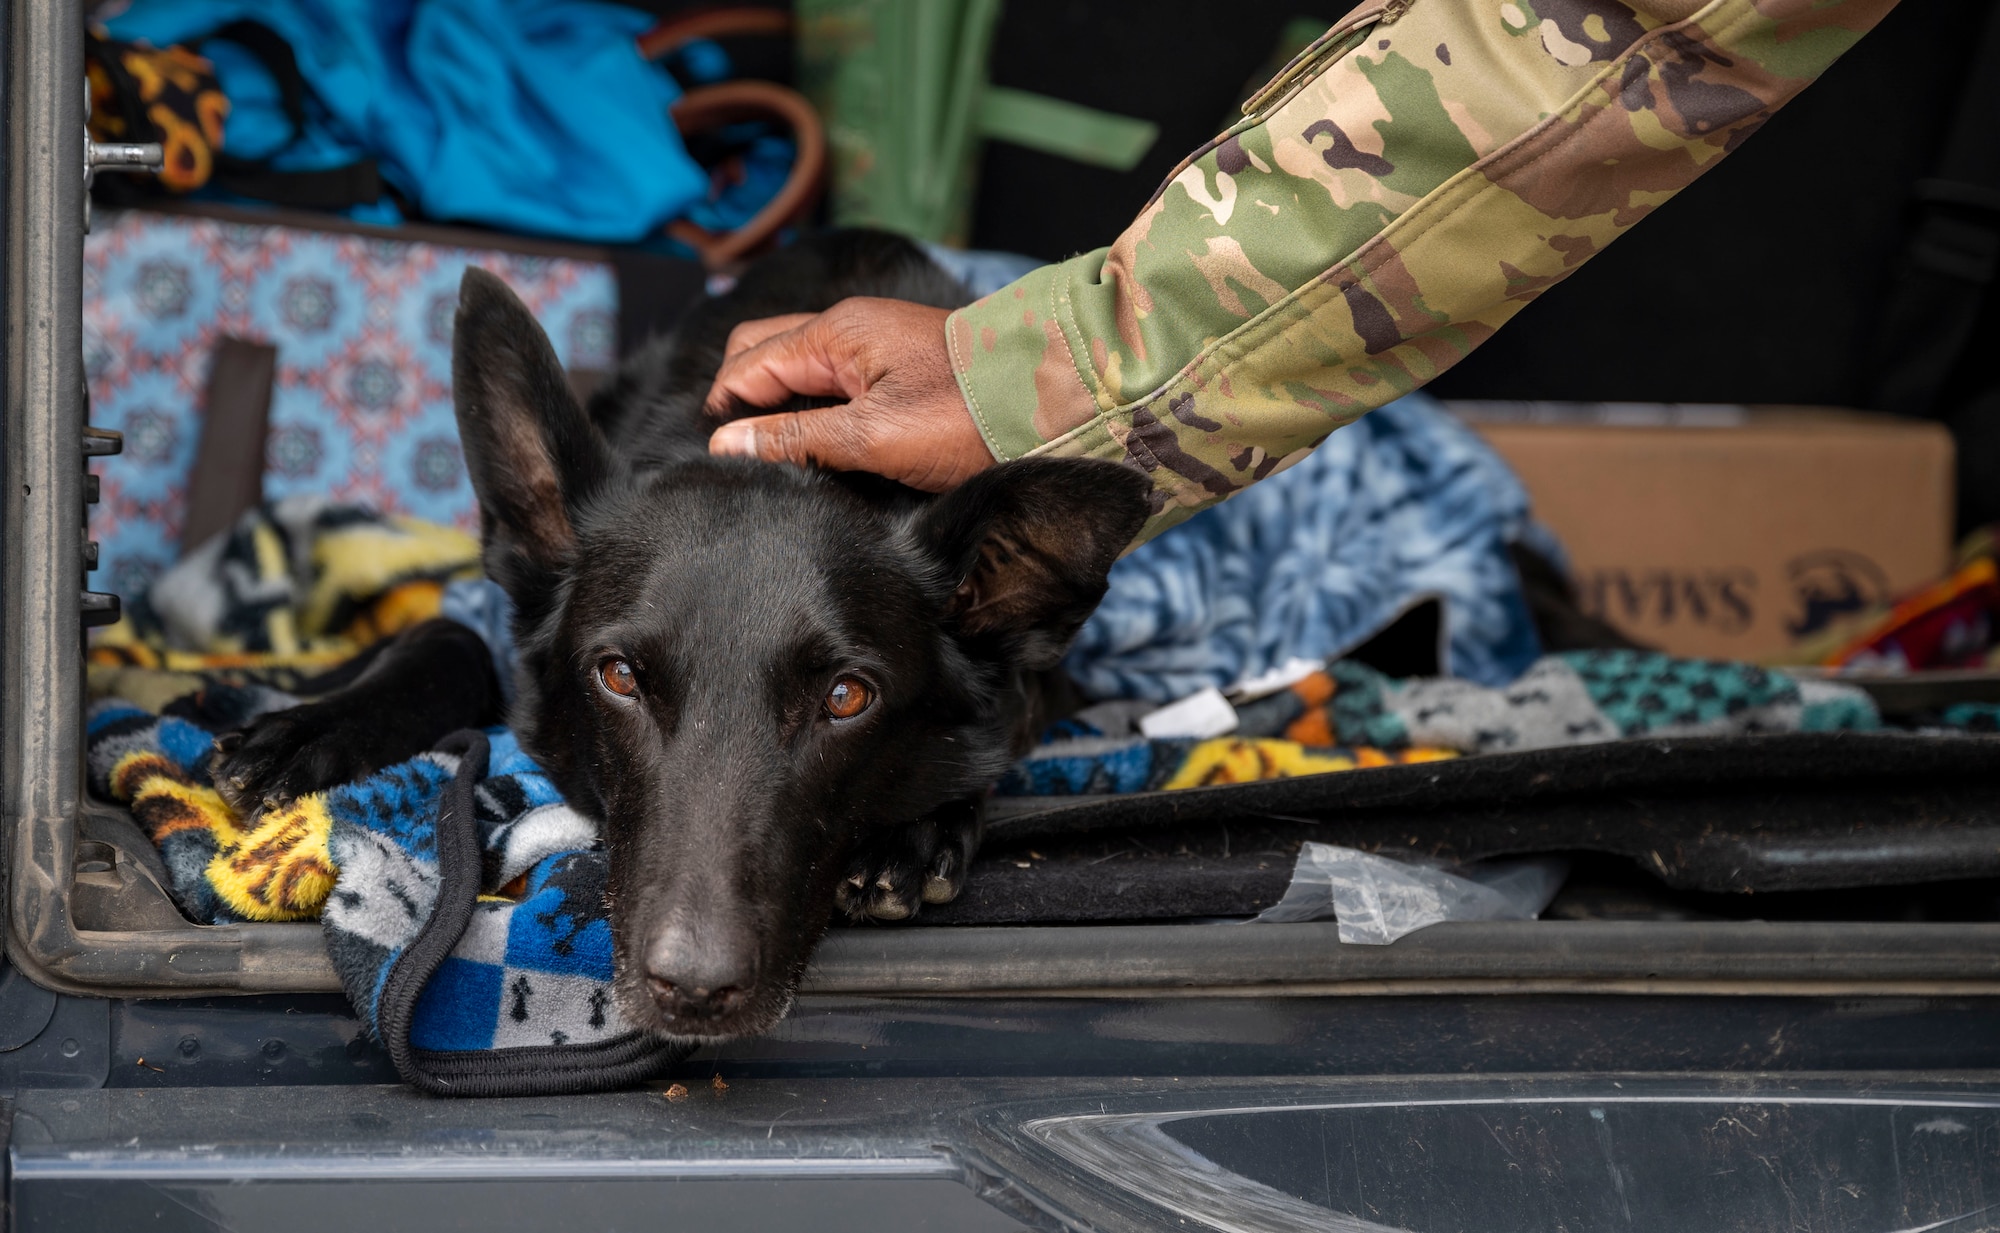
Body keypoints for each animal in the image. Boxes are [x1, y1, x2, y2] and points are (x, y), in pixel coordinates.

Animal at [211, 233, 1152, 1040]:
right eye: (620, 676)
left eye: (847, 696)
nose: (695, 990)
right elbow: (448, 640)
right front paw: (303, 735)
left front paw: (913, 834)